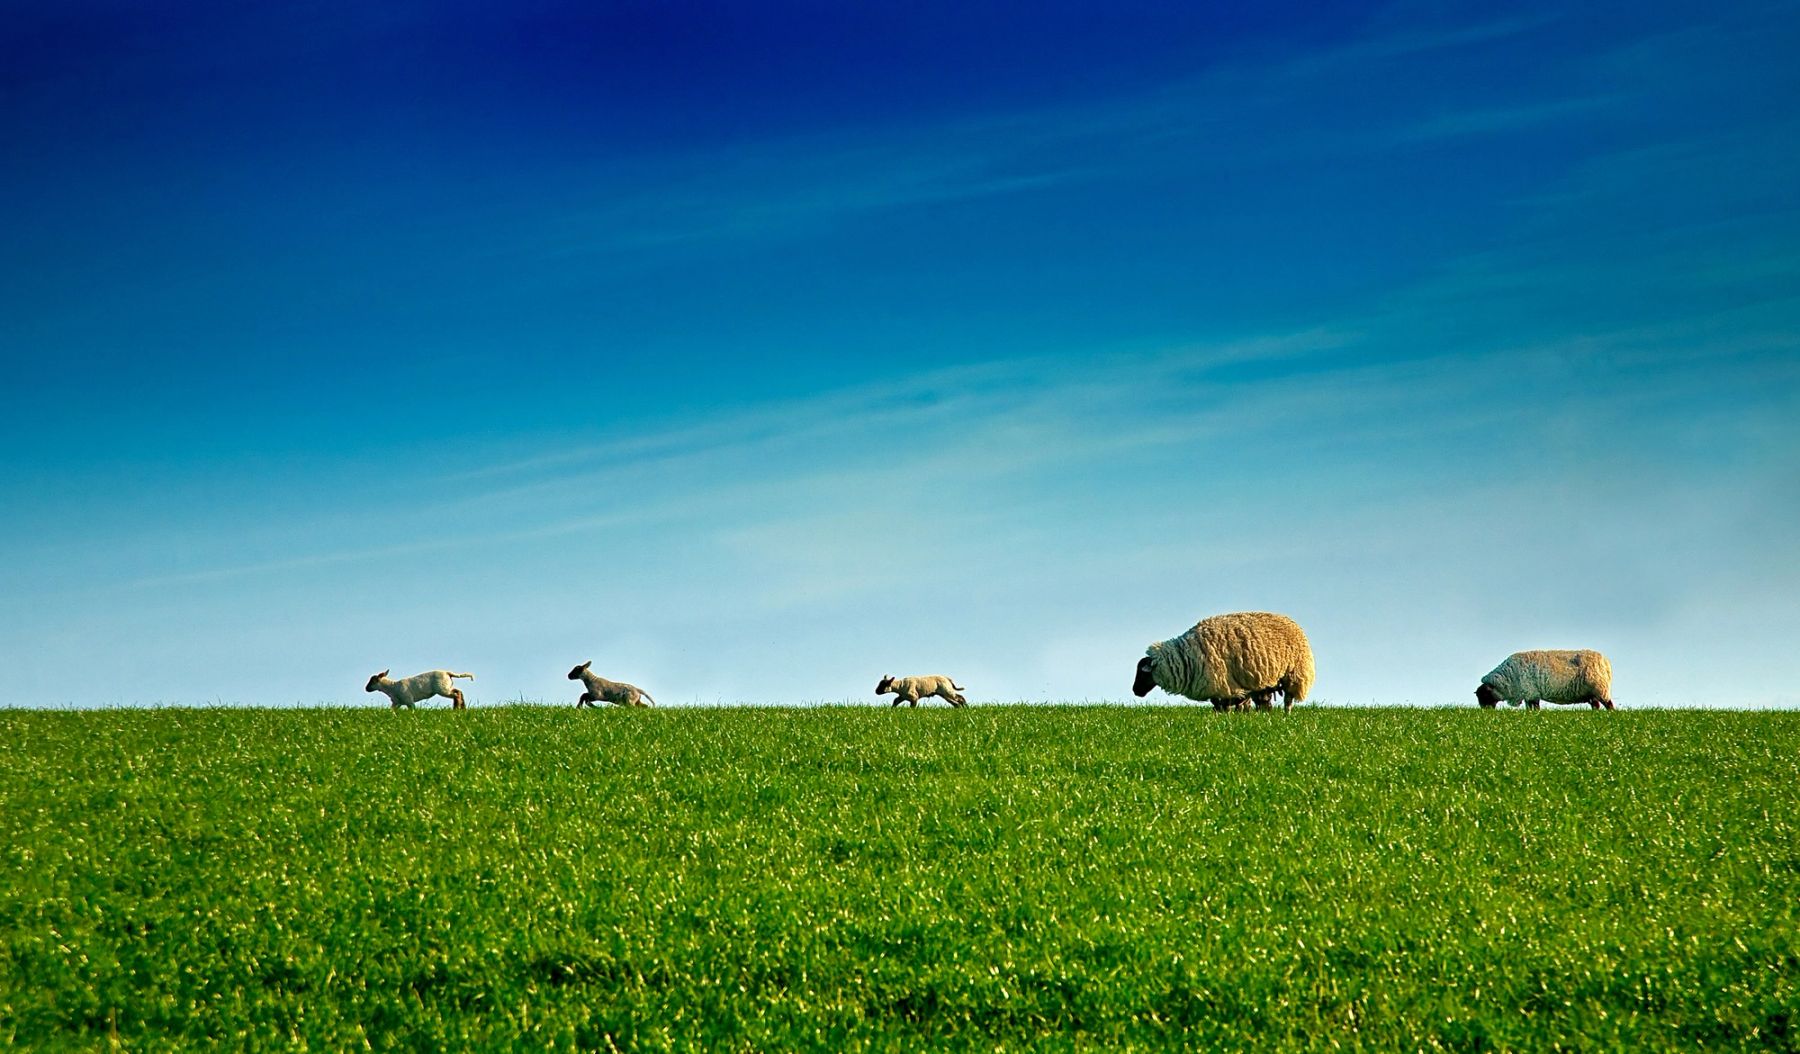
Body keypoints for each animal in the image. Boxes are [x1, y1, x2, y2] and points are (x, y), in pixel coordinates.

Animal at [1132, 611, 1314, 712]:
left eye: (1142, 672)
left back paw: (1285, 716)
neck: (1184, 657)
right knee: (1265, 703)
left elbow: (1224, 706)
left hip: (1293, 675)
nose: (1135, 691)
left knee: (1288, 701)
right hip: (1262, 682)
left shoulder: (1222, 684)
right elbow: (1219, 706)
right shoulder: (1218, 688)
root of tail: (1292, 622)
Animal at [1475, 650, 1614, 710]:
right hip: (1592, 693)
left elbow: (1535, 709)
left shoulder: (1531, 693)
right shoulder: (1529, 694)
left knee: (1609, 704)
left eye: (1485, 695)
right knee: (1596, 705)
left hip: (1600, 689)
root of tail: (1606, 663)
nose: (1485, 712)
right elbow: (1530, 709)